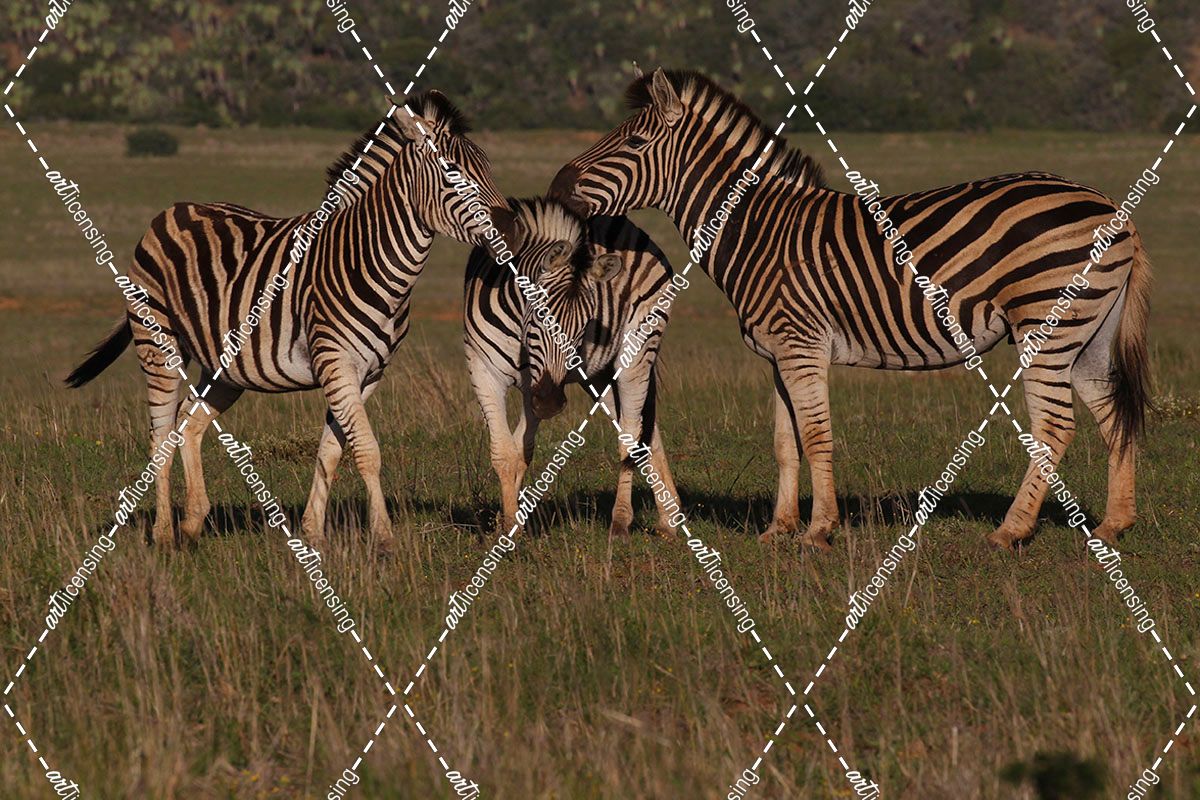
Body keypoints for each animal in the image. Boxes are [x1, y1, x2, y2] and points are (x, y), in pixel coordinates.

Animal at [65, 91, 513, 550]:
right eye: (453, 171)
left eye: (489, 167)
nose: (509, 227)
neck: (372, 260)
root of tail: (171, 210)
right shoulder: (337, 363)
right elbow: (367, 450)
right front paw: (385, 538)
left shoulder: (367, 374)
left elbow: (331, 451)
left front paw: (312, 532)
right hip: (158, 344)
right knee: (159, 435)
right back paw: (163, 533)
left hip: (224, 368)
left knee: (188, 425)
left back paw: (192, 522)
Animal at [463, 196, 682, 536]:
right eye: (539, 315)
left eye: (584, 326)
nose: (551, 403)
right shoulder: (486, 369)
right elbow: (510, 452)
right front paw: (510, 522)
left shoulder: (536, 383)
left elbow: (520, 449)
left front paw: (511, 524)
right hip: (601, 375)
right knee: (644, 429)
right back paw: (669, 519)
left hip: (637, 352)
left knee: (631, 436)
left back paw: (621, 521)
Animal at [551, 68, 1151, 551]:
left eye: (634, 140)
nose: (556, 185)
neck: (757, 230)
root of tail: (1112, 208)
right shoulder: (777, 353)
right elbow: (785, 442)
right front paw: (779, 528)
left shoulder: (802, 345)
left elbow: (817, 435)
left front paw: (819, 530)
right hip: (1089, 330)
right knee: (1110, 409)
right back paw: (1113, 526)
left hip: (1047, 324)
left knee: (1054, 426)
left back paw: (1012, 530)